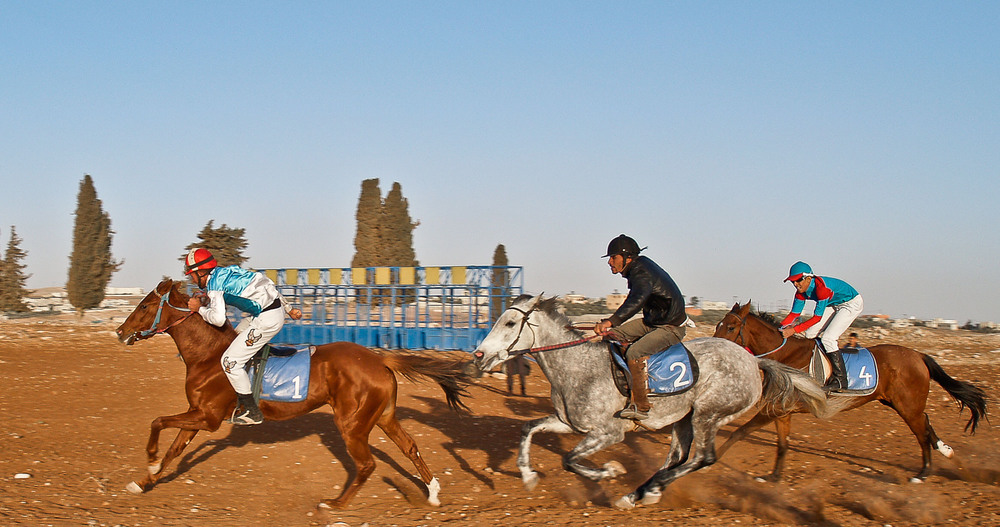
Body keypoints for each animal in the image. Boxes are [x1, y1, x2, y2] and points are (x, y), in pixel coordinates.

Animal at [113, 278, 472, 510]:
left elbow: (158, 421)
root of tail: (379, 358)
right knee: (409, 447)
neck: (209, 355)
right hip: (383, 416)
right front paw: (145, 481)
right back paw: (433, 493)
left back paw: (336, 504)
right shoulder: (197, 414)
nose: (119, 331)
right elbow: (174, 448)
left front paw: (150, 459)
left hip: (352, 424)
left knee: (367, 464)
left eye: (145, 305)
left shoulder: (208, 417)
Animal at [474, 294, 828, 510]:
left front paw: (609, 472)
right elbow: (528, 429)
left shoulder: (609, 433)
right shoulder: (567, 423)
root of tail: (754, 361)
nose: (479, 354)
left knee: (702, 458)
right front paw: (528, 476)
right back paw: (642, 492)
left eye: (509, 323)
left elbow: (570, 460)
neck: (576, 365)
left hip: (708, 415)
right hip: (684, 419)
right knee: (677, 458)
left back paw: (645, 491)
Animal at [716, 304, 988, 484]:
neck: (786, 357)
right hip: (897, 402)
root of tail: (918, 355)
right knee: (927, 423)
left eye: (730, 326)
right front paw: (773, 477)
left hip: (908, 406)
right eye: (719, 324)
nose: (713, 344)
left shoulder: (775, 408)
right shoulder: (781, 409)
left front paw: (711, 459)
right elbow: (782, 444)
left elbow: (740, 432)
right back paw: (946, 451)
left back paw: (923, 473)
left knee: (921, 432)